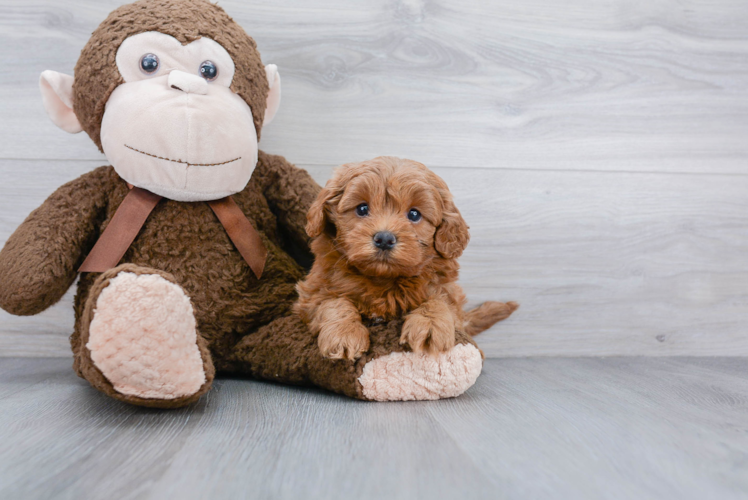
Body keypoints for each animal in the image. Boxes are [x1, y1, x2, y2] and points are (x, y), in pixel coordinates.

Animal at [296, 156, 516, 360]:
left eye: (414, 214)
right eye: (362, 209)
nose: (384, 239)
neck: (384, 279)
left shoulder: (449, 292)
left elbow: (439, 300)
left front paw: (430, 325)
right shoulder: (311, 294)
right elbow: (333, 302)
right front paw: (345, 333)